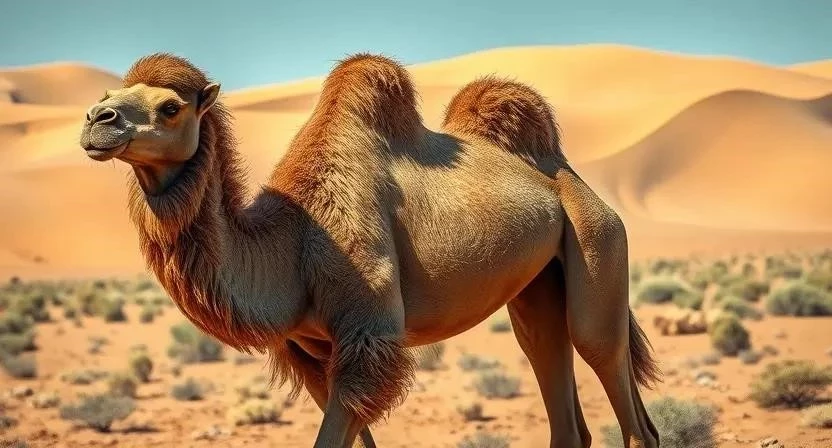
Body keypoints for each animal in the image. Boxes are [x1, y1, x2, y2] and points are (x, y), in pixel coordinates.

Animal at [79, 52, 661, 448]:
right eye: (113, 95)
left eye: (170, 107)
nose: (96, 119)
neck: (294, 242)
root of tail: (565, 173)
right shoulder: (309, 352)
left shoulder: (369, 336)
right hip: (538, 285)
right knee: (549, 360)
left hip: (598, 239)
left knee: (609, 367)